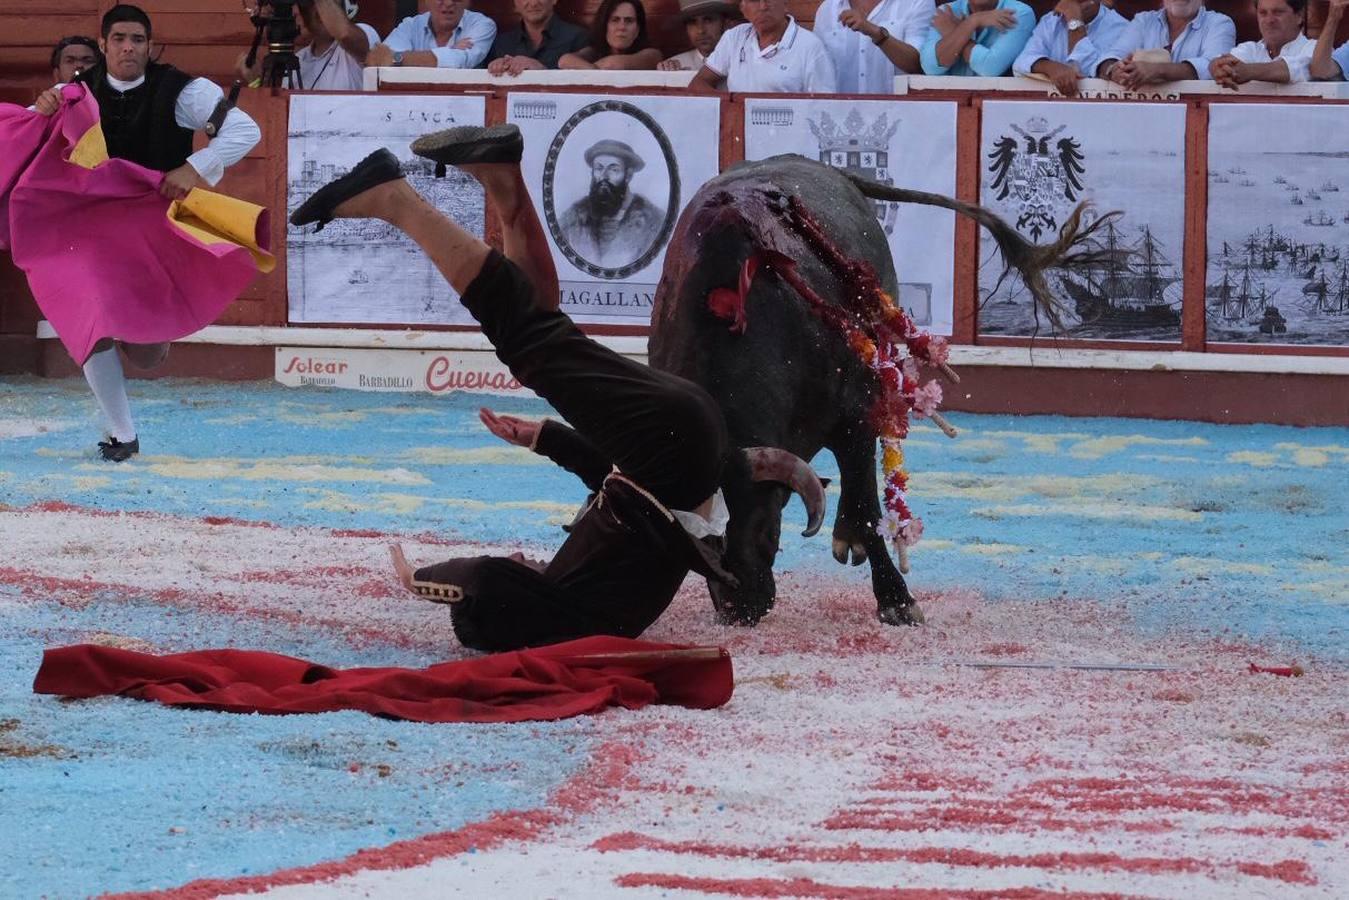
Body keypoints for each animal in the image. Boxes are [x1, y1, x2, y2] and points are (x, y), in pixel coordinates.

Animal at [647, 155, 1111, 631]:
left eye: (763, 524)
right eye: (691, 538)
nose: (738, 607)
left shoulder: (854, 413)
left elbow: (870, 508)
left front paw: (896, 598)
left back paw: (850, 537)